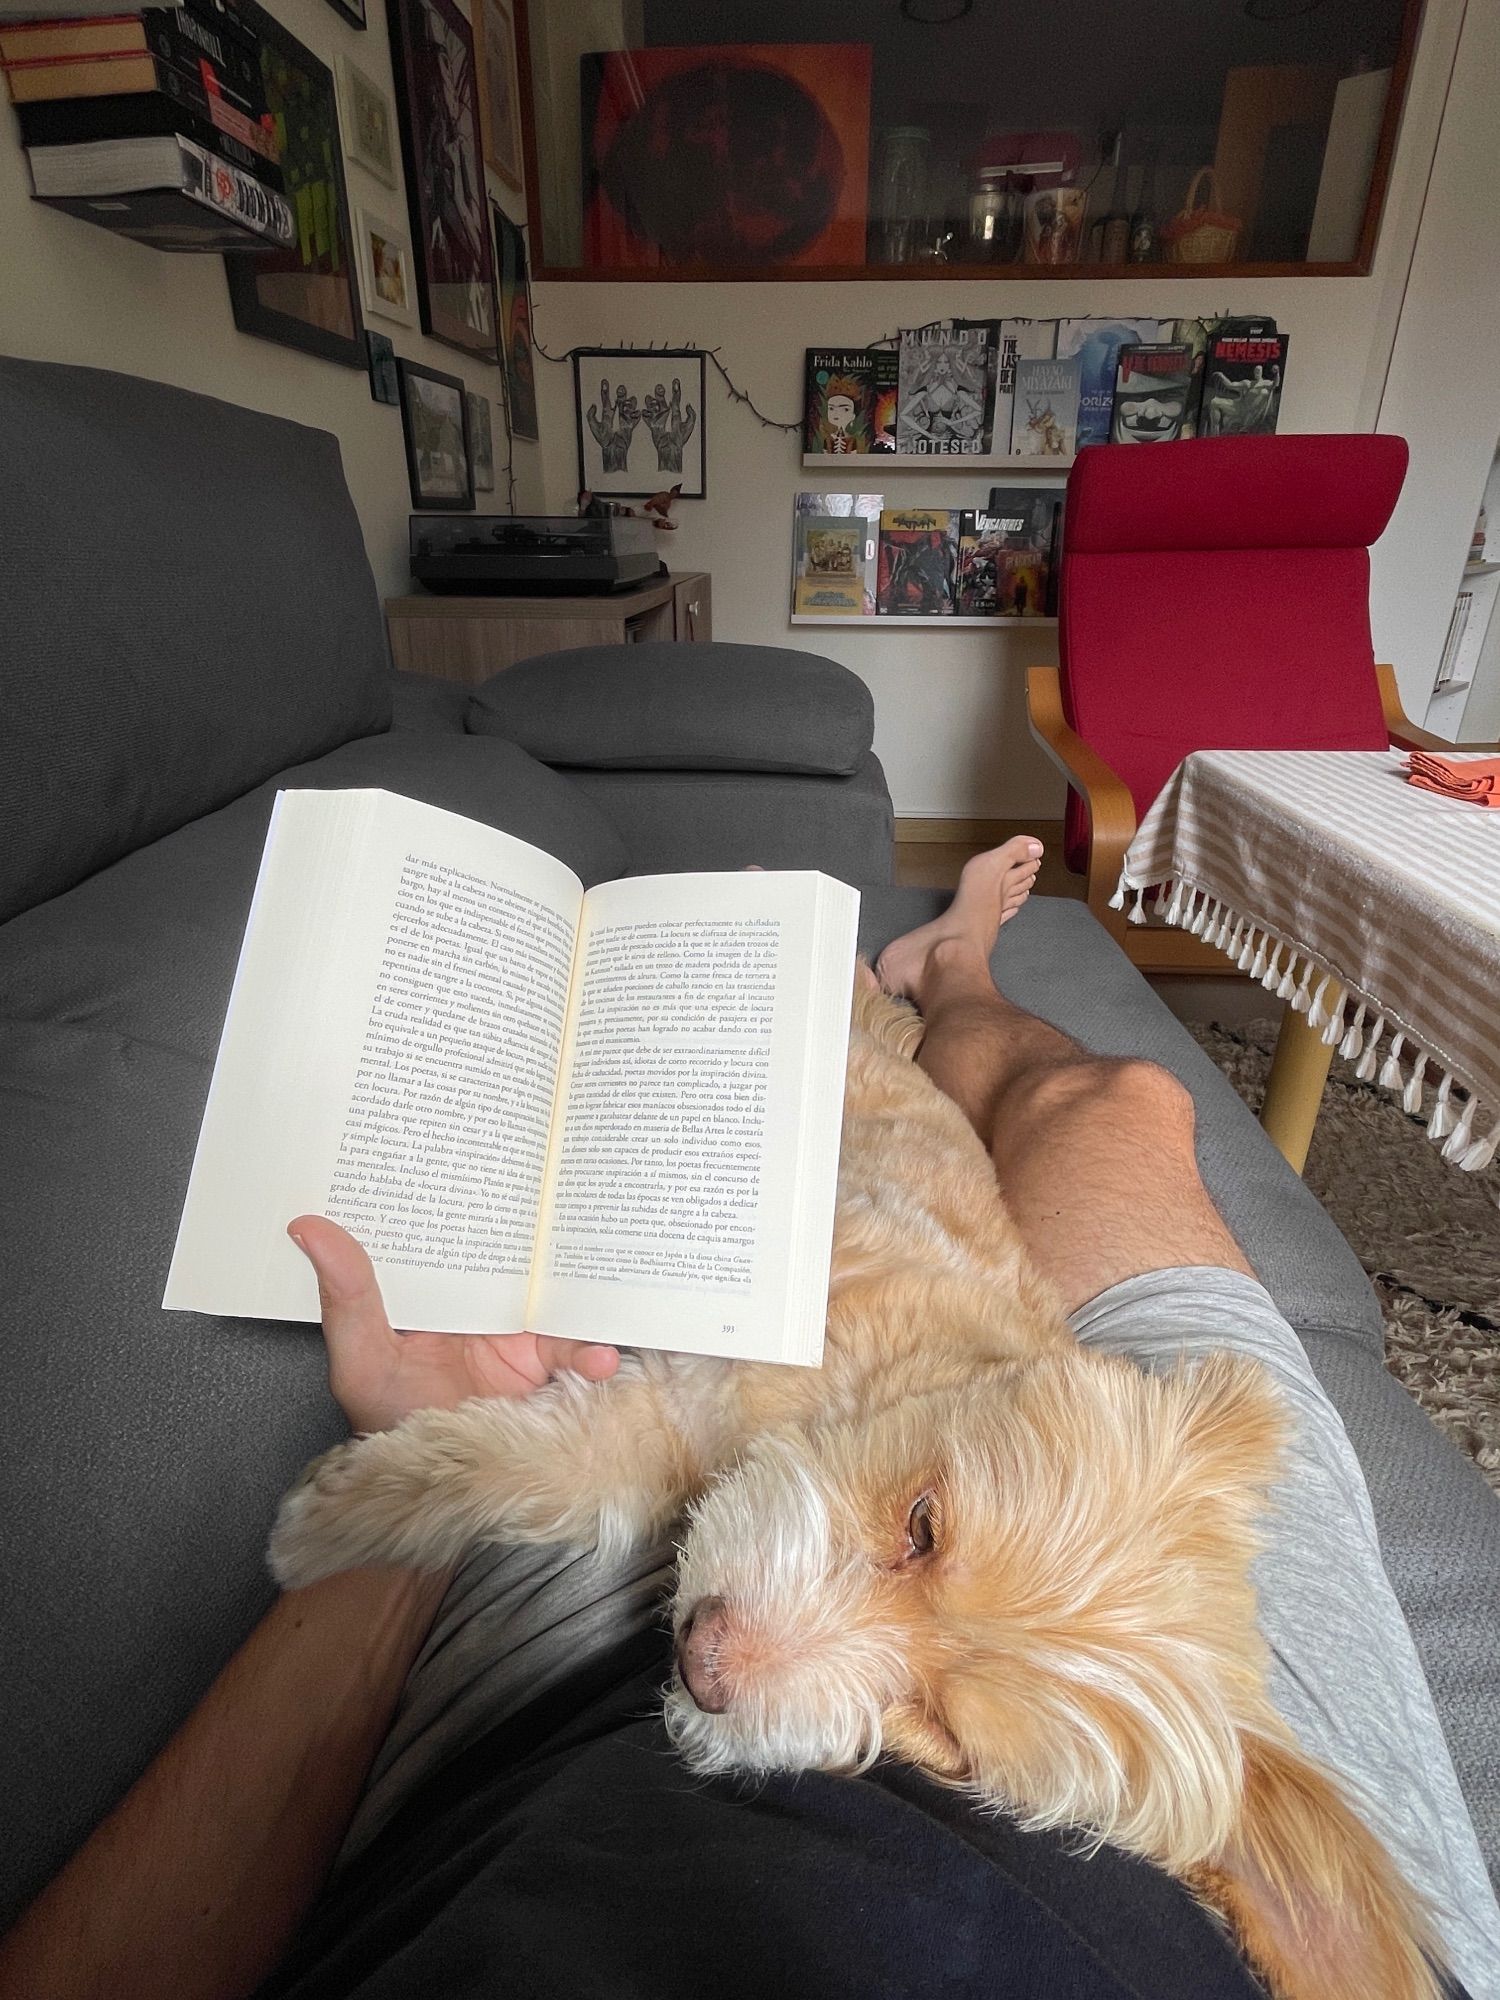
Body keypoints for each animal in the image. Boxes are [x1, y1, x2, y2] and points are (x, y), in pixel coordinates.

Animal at [270, 980, 1448, 2000]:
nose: (704, 1660)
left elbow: (556, 1463)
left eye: (948, 1737)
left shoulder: (659, 1427)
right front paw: (337, 1517)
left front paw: (339, 1519)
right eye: (925, 1522)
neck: (862, 1392)